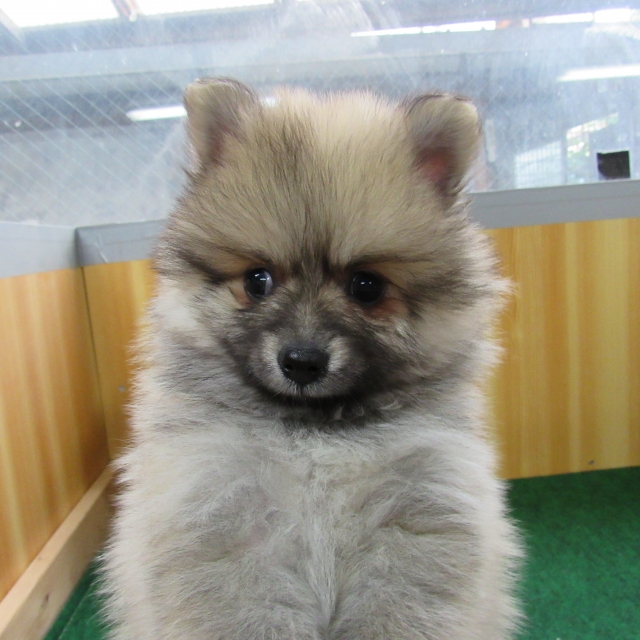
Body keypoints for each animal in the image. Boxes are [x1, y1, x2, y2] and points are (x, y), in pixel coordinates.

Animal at [103, 78, 521, 639]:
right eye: (257, 280)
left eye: (367, 286)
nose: (301, 361)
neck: (316, 435)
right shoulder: (224, 518)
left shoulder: (417, 516)